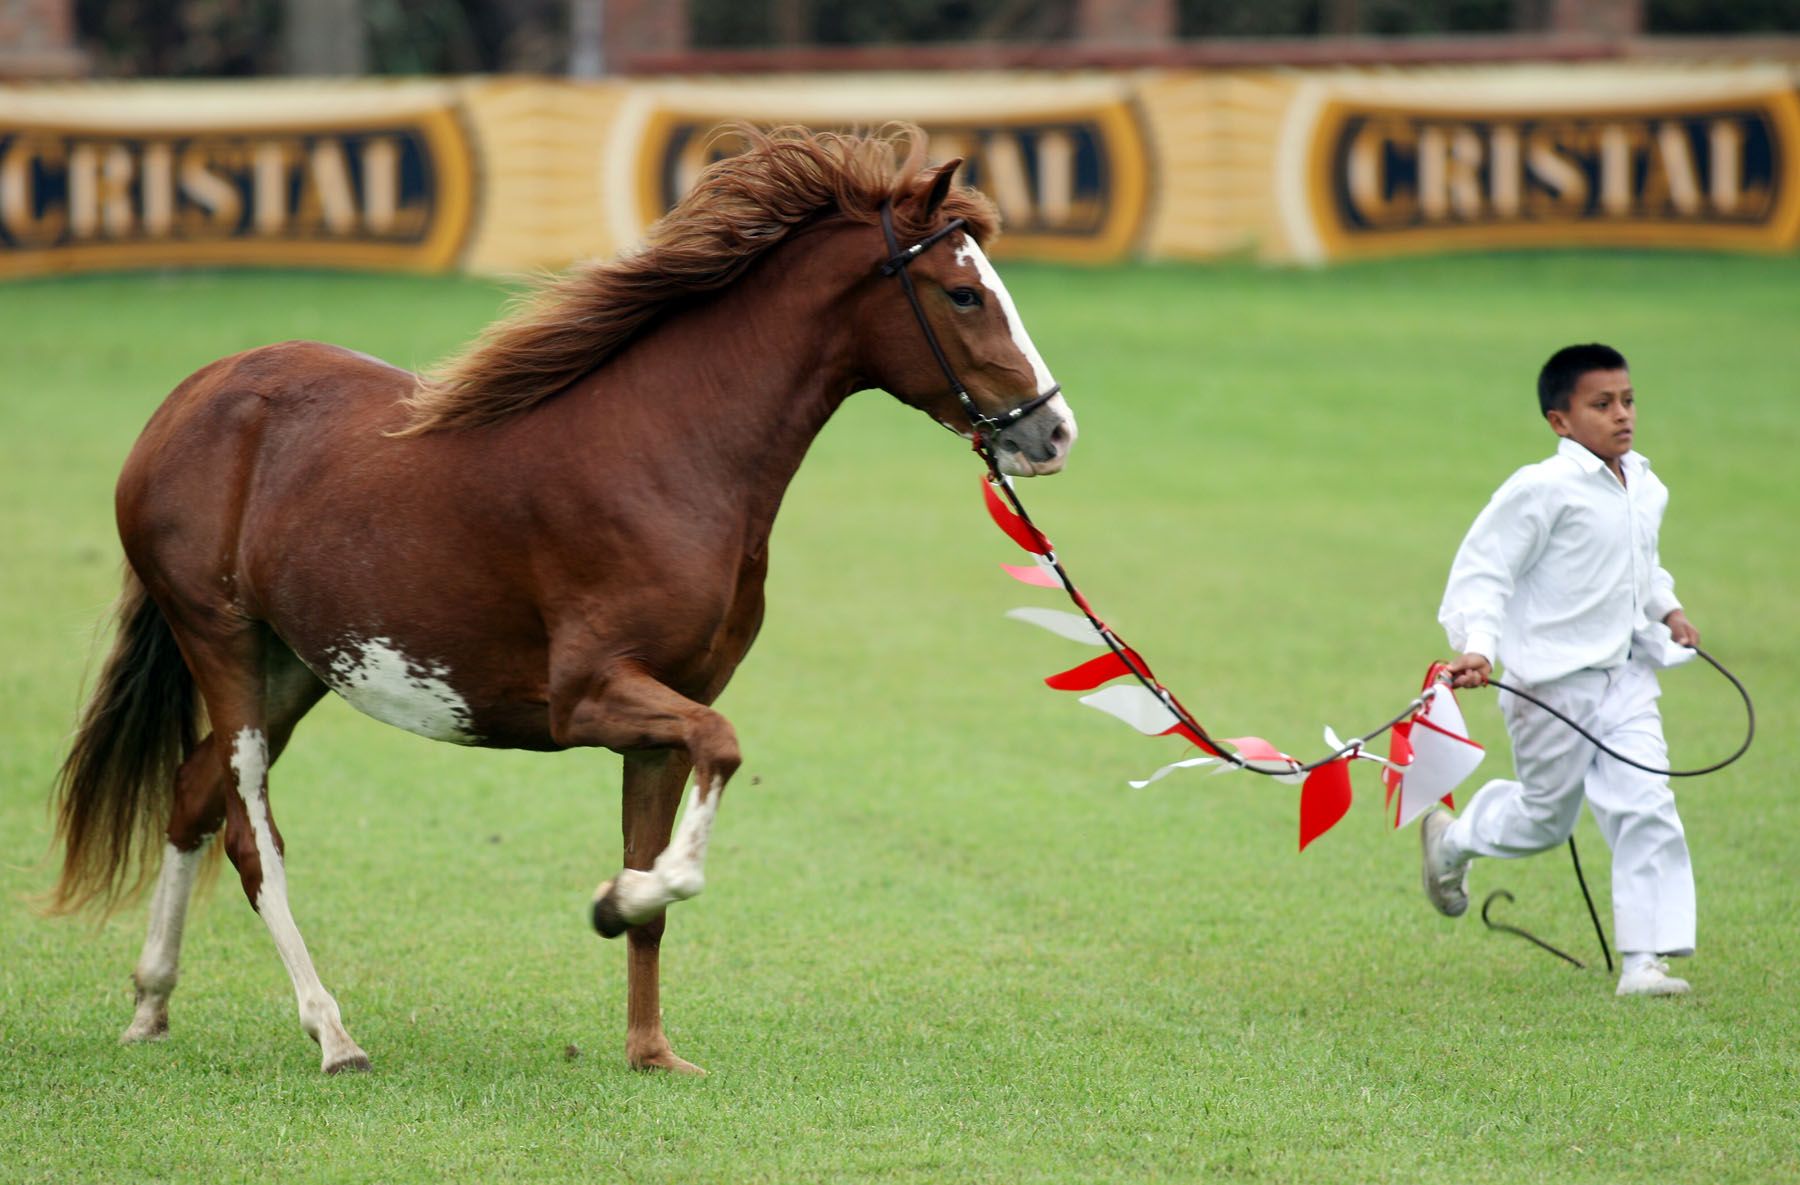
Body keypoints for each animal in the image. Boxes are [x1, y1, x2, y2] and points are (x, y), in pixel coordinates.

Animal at [47, 124, 1078, 1075]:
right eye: (963, 292)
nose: (1054, 431)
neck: (670, 451)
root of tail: (189, 400)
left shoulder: (663, 715)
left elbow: (660, 863)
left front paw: (652, 1048)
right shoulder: (592, 697)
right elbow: (715, 770)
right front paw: (611, 902)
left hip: (294, 666)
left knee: (190, 796)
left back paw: (151, 1004)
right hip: (220, 641)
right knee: (250, 834)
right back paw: (332, 1033)